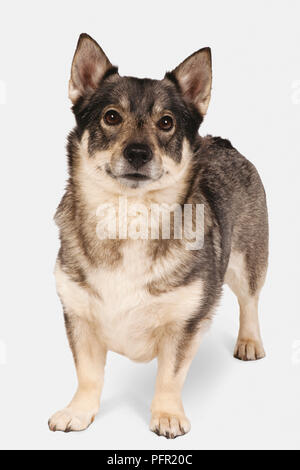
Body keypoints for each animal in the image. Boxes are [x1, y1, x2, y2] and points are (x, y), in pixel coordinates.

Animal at [48, 33, 268, 436]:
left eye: (166, 122)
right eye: (111, 117)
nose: (138, 152)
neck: (130, 216)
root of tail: (223, 142)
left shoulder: (184, 324)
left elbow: (169, 375)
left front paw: (166, 414)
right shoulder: (79, 317)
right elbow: (88, 375)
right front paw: (79, 411)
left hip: (248, 261)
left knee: (250, 301)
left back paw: (249, 341)